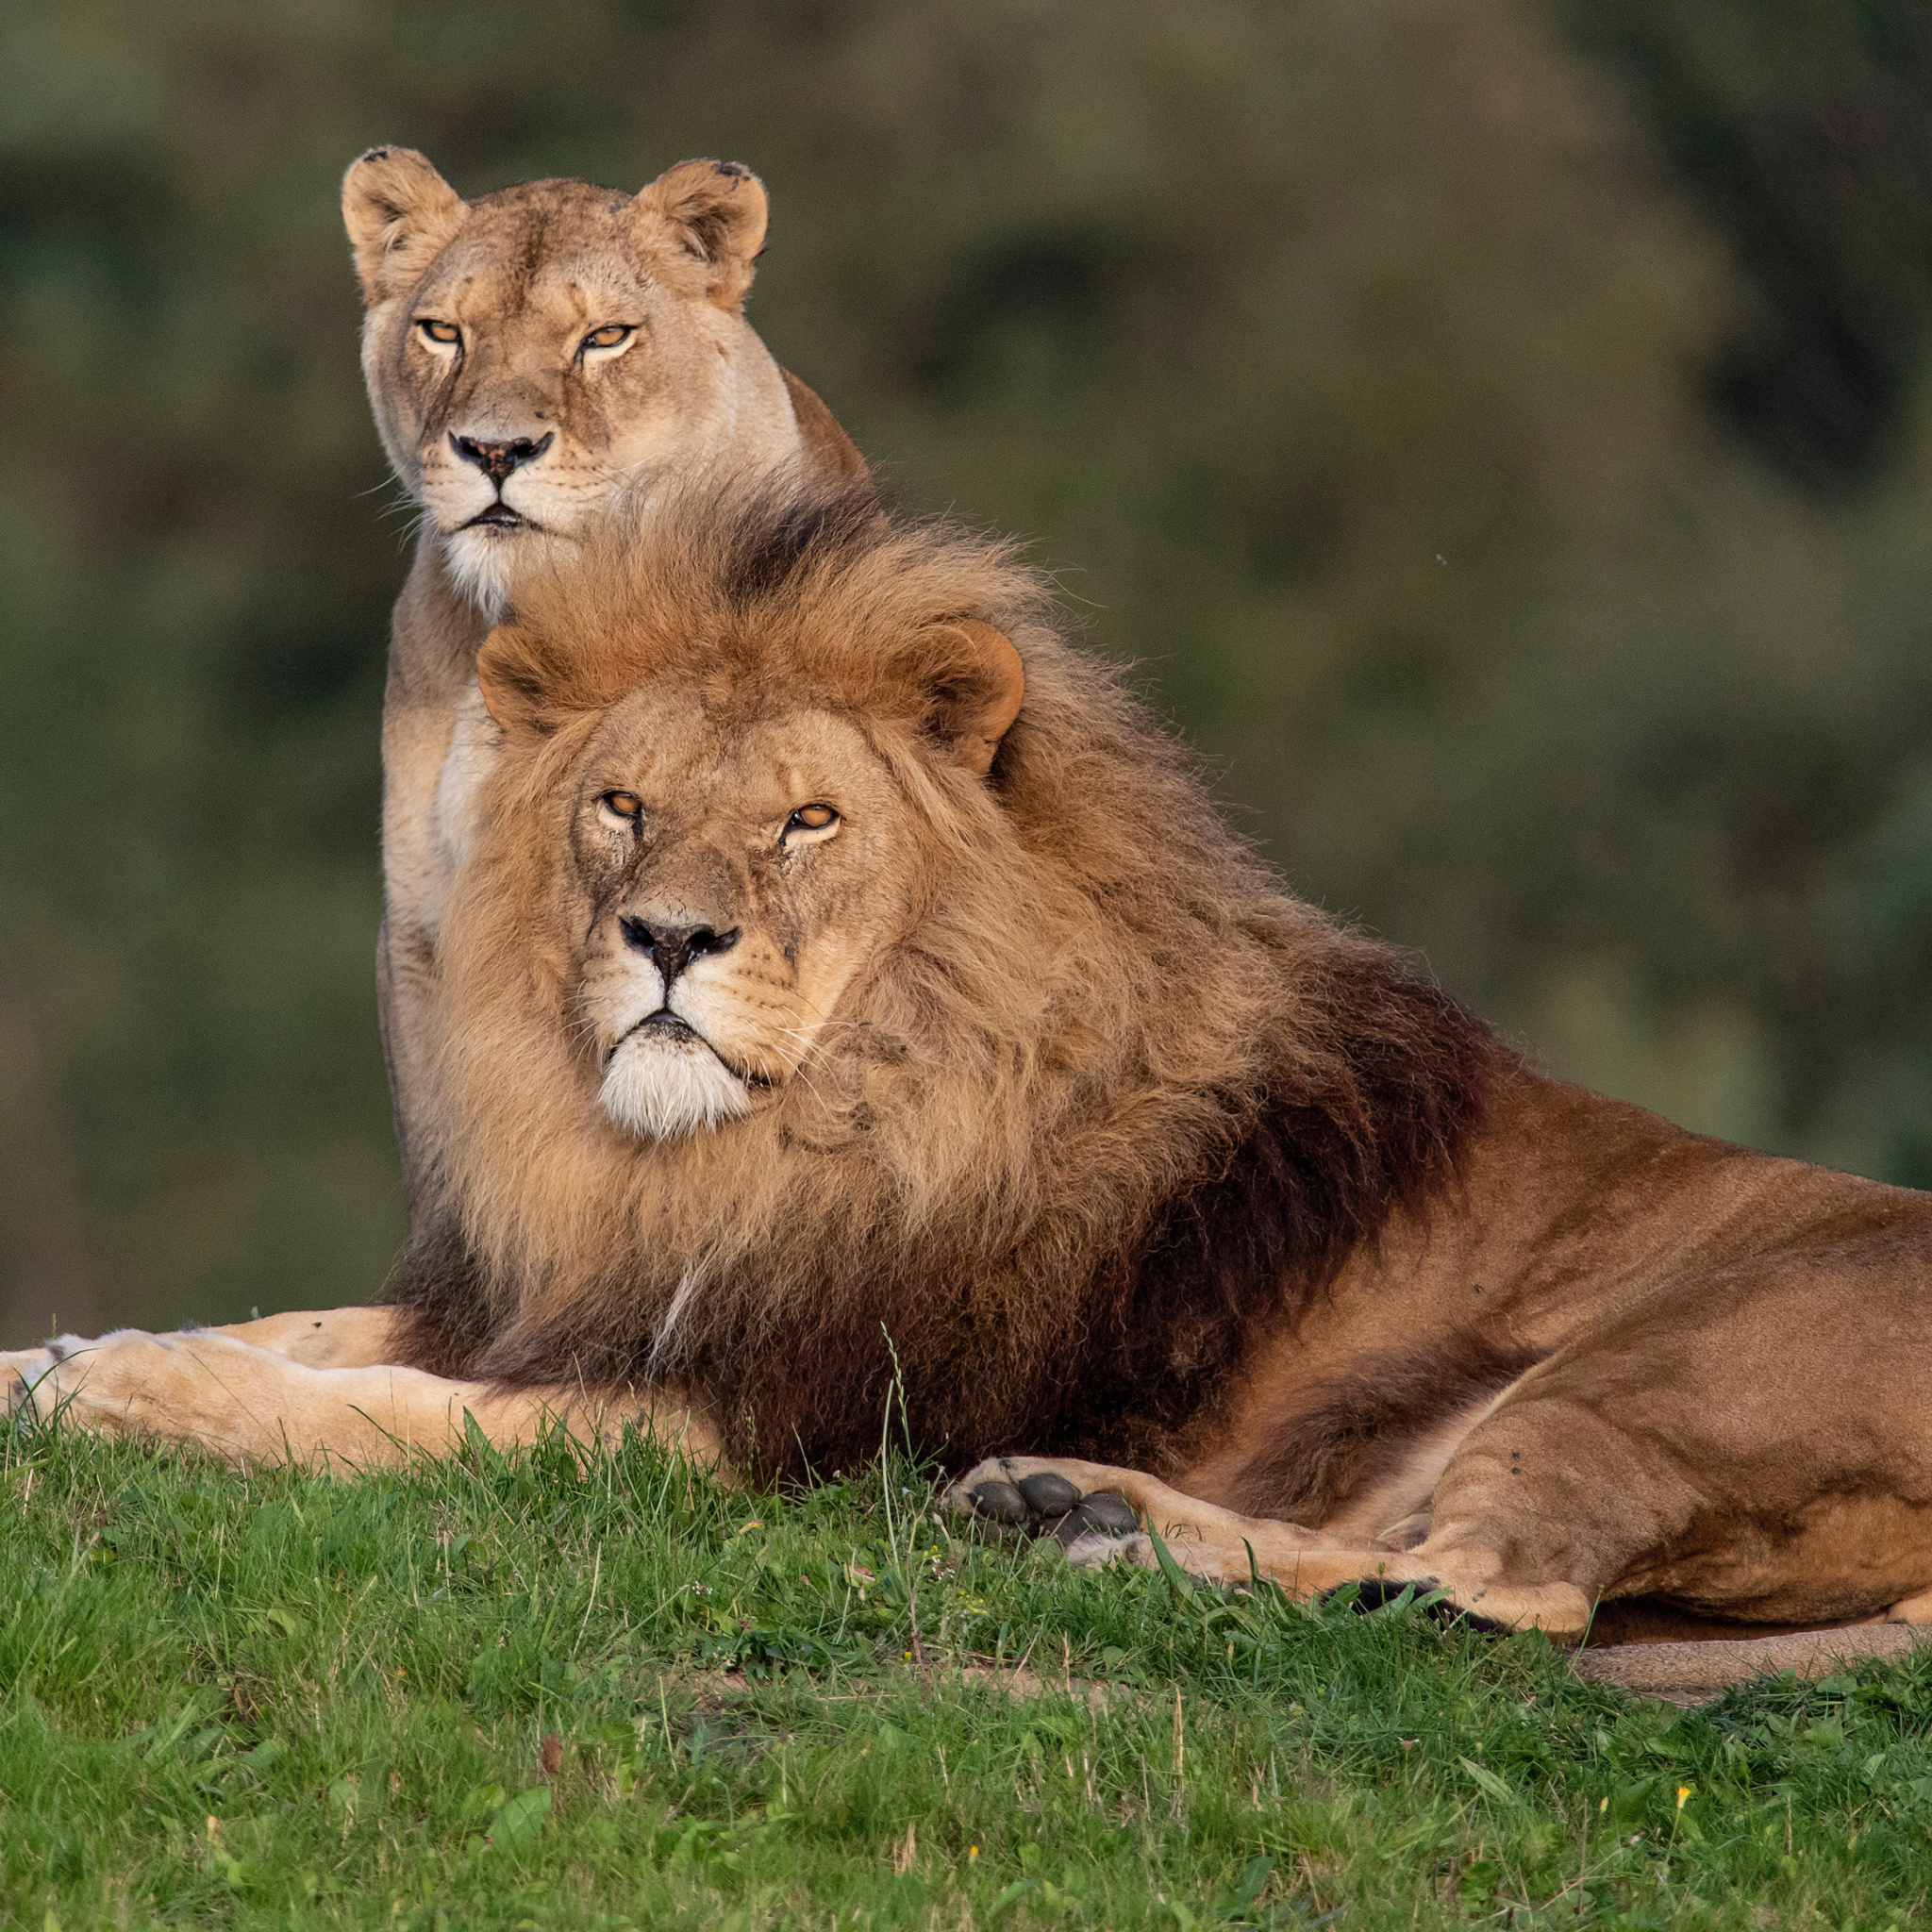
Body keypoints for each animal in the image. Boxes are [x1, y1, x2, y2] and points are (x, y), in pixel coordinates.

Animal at [11, 483, 1932, 1692]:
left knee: (1501, 1602)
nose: (669, 938)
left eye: (807, 819)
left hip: (1648, 1369)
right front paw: (53, 1356)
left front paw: (132, 1389)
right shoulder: (579, 1299)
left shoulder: (740, 1423)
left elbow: (382, 1413)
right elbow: (318, 1328)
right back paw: (1071, 1508)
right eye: (622, 803)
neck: (740, 1149)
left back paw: (1105, 1545)